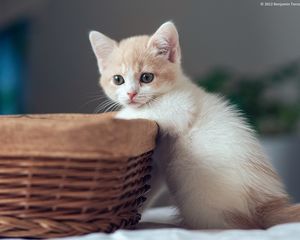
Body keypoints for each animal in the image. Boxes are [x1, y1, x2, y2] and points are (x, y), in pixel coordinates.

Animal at [88, 21, 300, 229]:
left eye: (147, 77)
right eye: (118, 79)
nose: (131, 94)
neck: (173, 89)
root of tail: (266, 206)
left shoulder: (182, 107)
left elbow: (147, 111)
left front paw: (118, 117)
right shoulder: (157, 160)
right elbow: (148, 188)